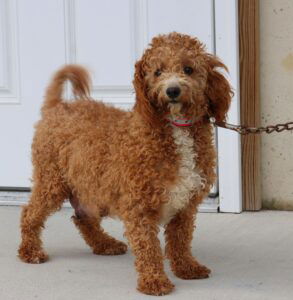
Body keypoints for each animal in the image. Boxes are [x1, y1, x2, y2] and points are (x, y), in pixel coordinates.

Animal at [18, 32, 232, 296]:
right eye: (157, 72)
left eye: (188, 69)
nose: (172, 90)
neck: (174, 128)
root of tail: (58, 106)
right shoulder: (138, 205)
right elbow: (148, 247)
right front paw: (154, 281)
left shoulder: (185, 205)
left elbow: (180, 240)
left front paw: (186, 267)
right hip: (52, 182)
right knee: (30, 213)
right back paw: (30, 251)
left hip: (94, 187)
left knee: (83, 218)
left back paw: (104, 244)